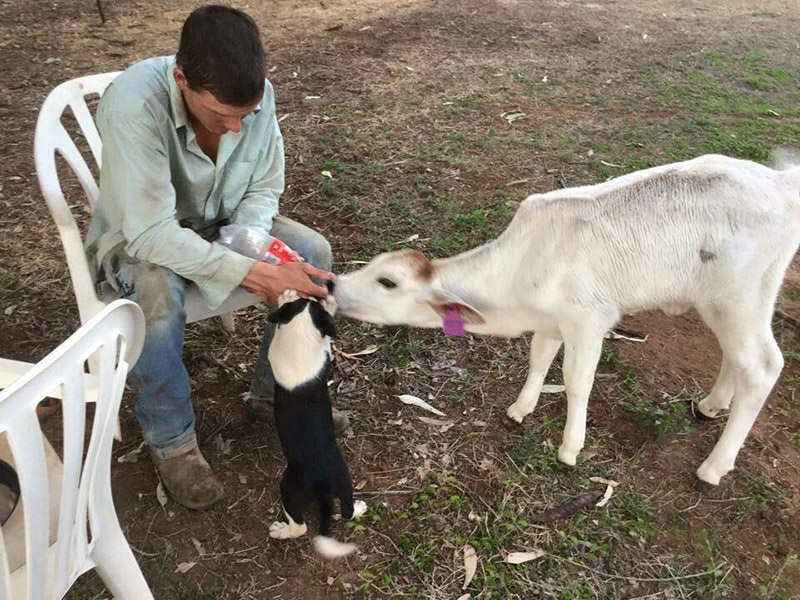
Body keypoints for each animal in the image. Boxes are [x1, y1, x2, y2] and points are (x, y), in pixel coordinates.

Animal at [268, 290, 368, 556]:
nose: (322, 295)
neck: (301, 331)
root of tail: (324, 488)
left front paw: (285, 296)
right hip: (345, 481)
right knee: (347, 511)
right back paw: (359, 507)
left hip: (289, 489)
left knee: (300, 527)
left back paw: (281, 531)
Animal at [334, 155, 800, 488]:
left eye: (387, 281)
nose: (334, 286)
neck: (517, 277)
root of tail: (780, 183)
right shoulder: (549, 320)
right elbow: (539, 359)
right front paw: (520, 408)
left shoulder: (589, 319)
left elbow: (577, 381)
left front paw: (570, 448)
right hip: (731, 302)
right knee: (736, 357)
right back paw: (712, 404)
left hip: (737, 298)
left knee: (763, 366)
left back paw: (713, 467)